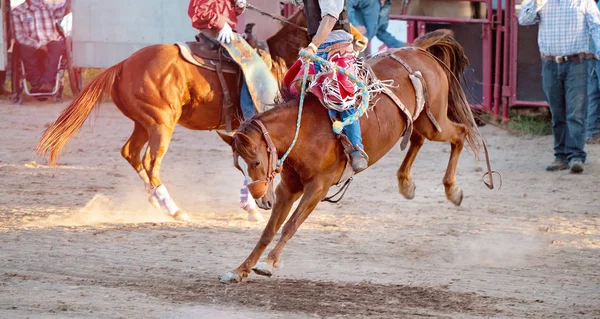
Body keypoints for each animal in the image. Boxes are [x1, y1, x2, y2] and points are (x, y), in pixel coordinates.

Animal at [218, 30, 490, 284]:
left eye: (255, 161)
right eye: (240, 168)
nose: (260, 198)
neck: (304, 132)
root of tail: (419, 49)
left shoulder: (317, 187)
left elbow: (290, 225)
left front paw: (268, 263)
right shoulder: (287, 188)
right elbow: (269, 230)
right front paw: (240, 270)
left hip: (436, 123)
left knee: (460, 133)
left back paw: (452, 190)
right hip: (422, 120)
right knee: (417, 139)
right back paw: (406, 184)